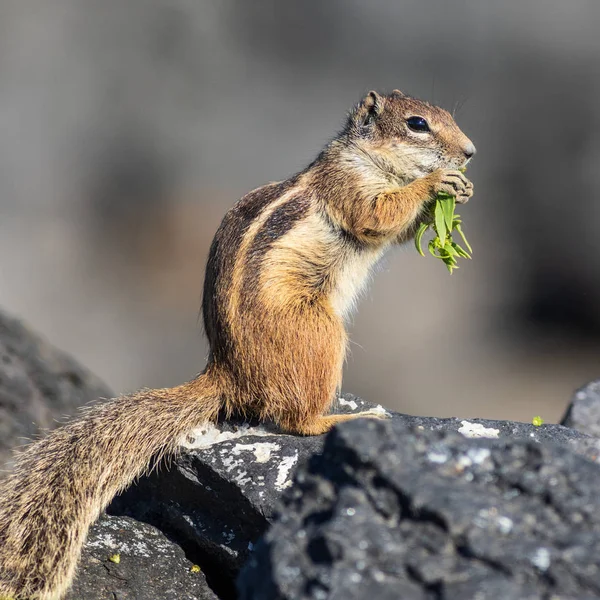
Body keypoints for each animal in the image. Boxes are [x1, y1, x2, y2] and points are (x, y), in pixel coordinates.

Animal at [1, 86, 478, 596]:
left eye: (443, 114)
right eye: (417, 124)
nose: (470, 153)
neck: (366, 156)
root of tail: (229, 372)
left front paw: (461, 189)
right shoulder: (348, 186)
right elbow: (378, 215)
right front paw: (436, 183)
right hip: (319, 333)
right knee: (295, 421)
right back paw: (348, 418)